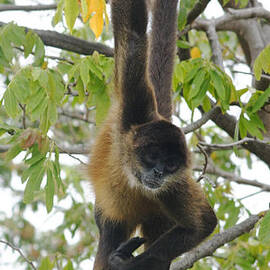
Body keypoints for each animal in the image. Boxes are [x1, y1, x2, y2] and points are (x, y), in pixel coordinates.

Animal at [88, 0, 217, 270]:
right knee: (110, 230)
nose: (158, 172)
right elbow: (133, 36)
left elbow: (203, 224)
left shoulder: (172, 186)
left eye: (170, 165)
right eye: (153, 156)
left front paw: (125, 264)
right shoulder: (134, 109)